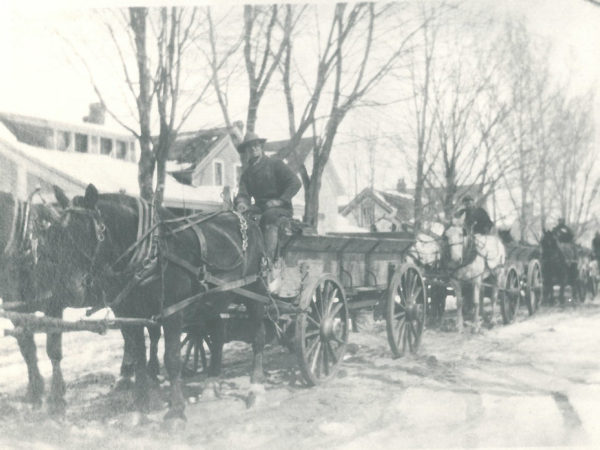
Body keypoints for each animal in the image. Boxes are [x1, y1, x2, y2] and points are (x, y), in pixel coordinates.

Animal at [39, 185, 268, 424]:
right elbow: (139, 357)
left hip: (254, 289)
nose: (65, 290)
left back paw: (256, 389)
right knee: (218, 333)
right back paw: (211, 383)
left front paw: (176, 412)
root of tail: (244, 218)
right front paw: (140, 408)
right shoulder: (131, 315)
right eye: (55, 234)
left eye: (85, 233)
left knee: (258, 336)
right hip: (212, 299)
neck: (152, 252)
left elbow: (172, 359)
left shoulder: (173, 312)